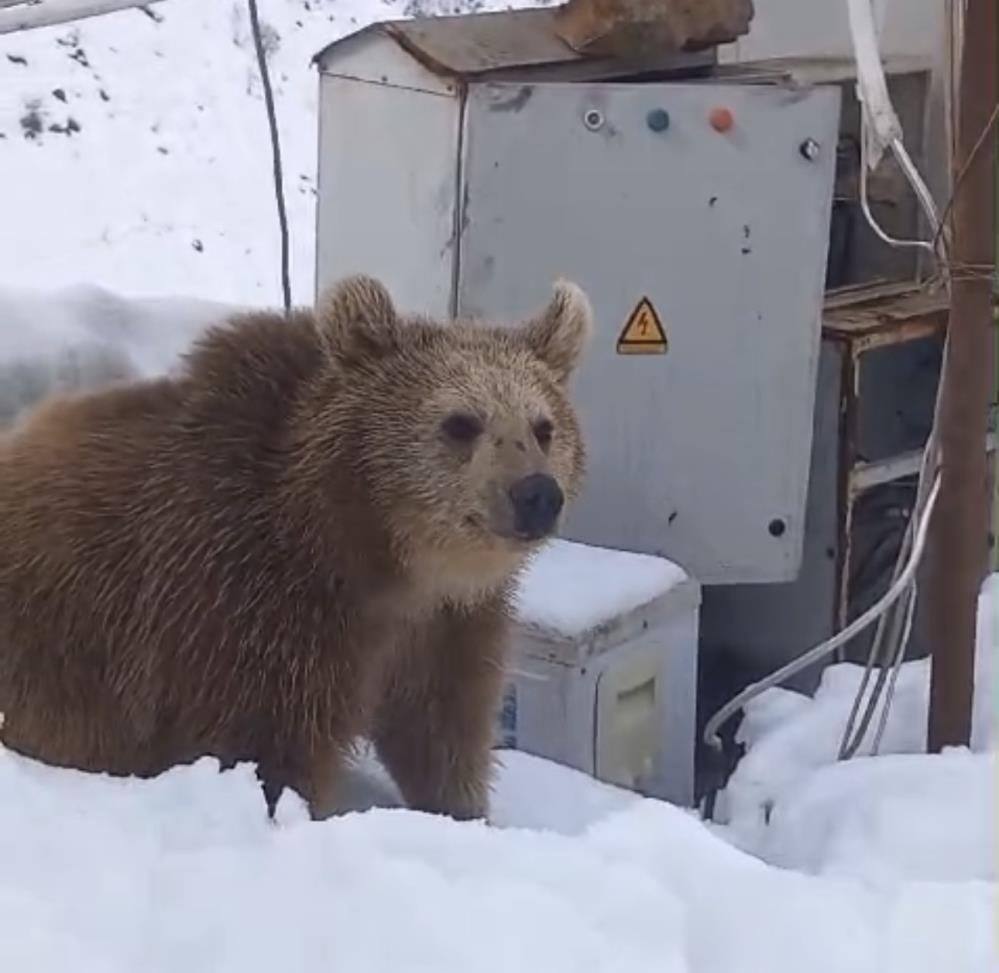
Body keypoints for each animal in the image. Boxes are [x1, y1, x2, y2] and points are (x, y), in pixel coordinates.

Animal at [0, 274, 592, 820]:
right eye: (461, 422)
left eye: (544, 427)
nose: (536, 494)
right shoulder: (248, 610)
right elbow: (266, 749)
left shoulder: (444, 627)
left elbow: (442, 731)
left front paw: (461, 809)